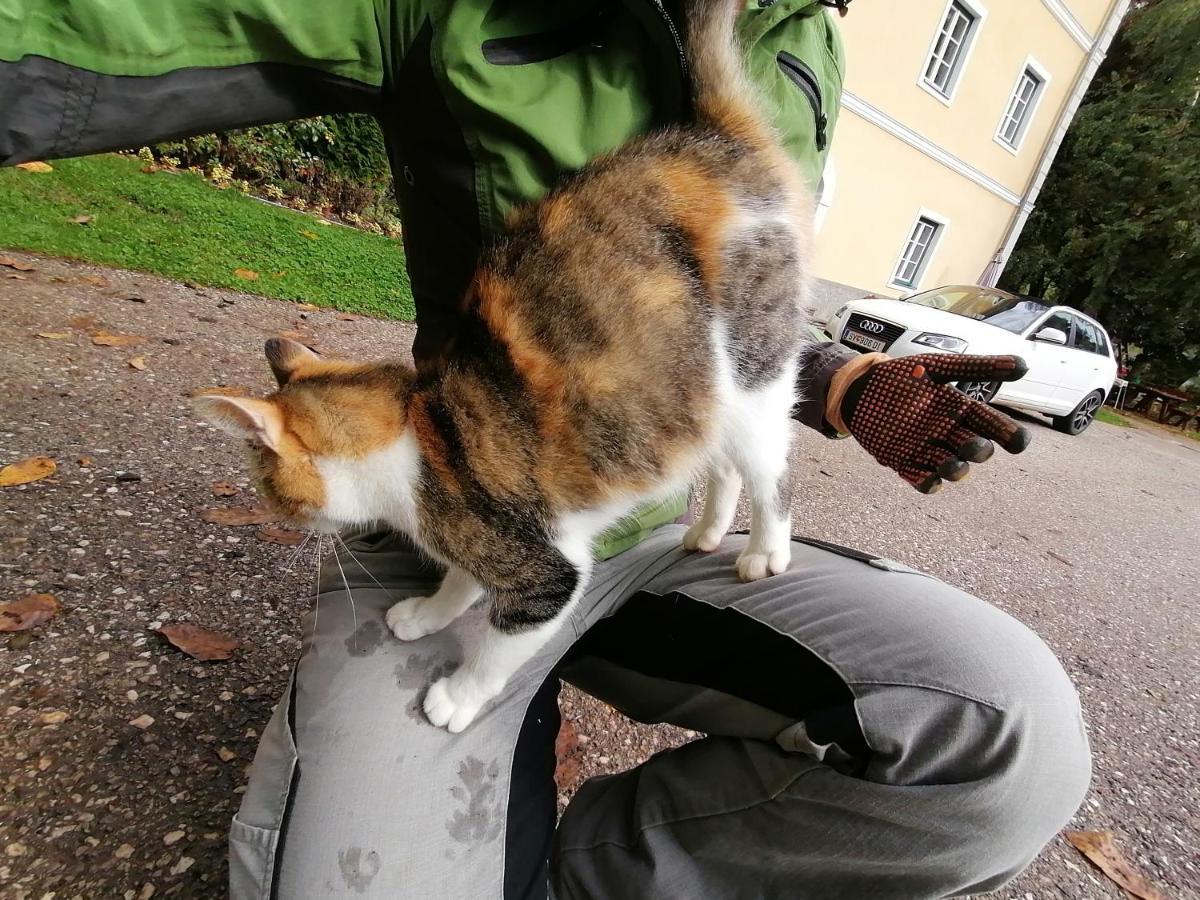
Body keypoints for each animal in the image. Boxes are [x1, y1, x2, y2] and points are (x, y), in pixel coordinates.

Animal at [194, 0, 816, 734]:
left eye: (268, 486)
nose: (280, 521)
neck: (419, 428)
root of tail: (714, 138)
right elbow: (461, 580)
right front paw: (428, 612)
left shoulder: (547, 569)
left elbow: (500, 641)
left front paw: (458, 697)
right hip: (700, 394)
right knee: (719, 459)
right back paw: (709, 529)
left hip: (753, 370)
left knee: (769, 468)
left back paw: (763, 549)